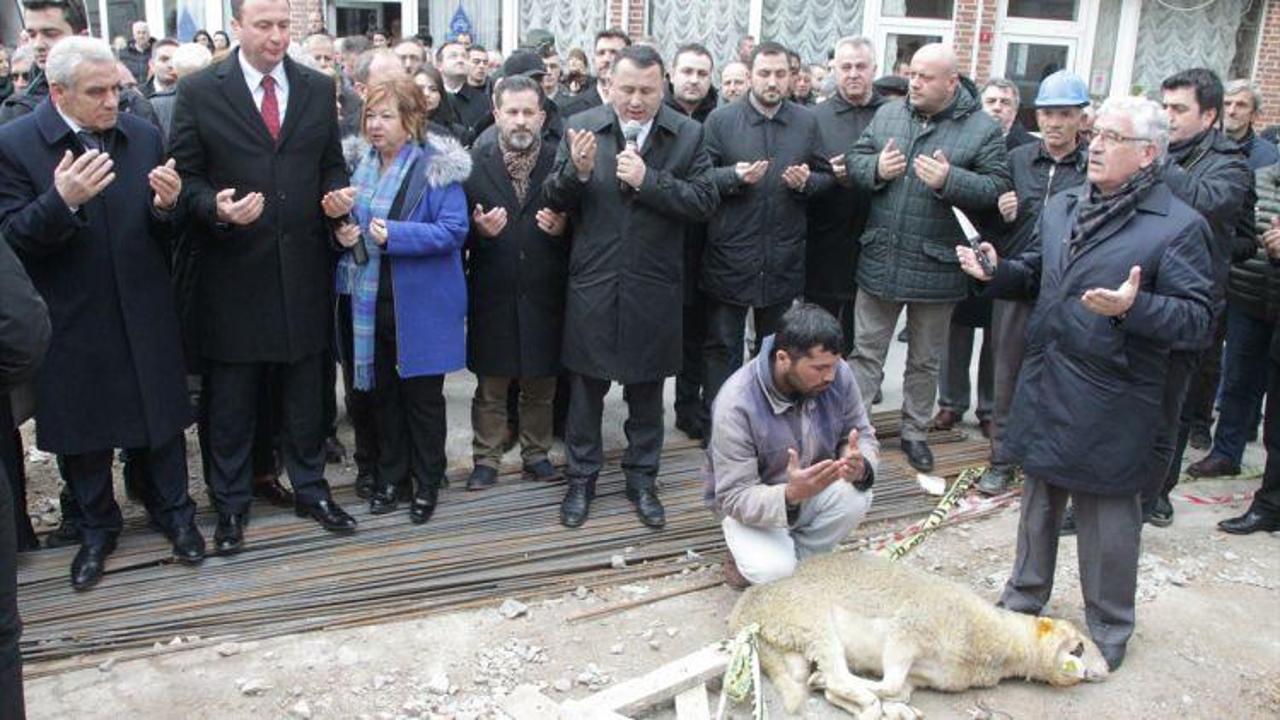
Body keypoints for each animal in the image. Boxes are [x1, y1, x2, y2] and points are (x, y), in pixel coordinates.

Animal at [732, 548, 1111, 712]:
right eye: (1079, 646)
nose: (1107, 671)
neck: (1000, 645)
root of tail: (745, 608)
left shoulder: (922, 676)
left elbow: (900, 691)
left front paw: (830, 689)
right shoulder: (908, 631)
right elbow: (890, 684)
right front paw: (860, 693)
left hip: (790, 642)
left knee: (807, 675)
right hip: (811, 619)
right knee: (839, 674)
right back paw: (853, 693)